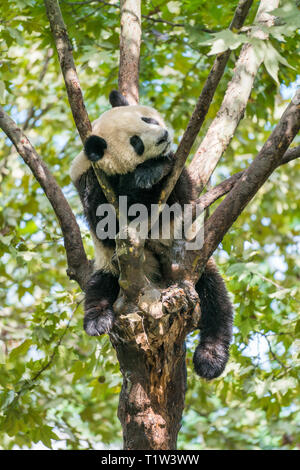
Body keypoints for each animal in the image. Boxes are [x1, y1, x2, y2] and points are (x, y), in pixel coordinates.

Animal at [71, 90, 233, 380]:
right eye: (135, 142)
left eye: (147, 119)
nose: (163, 136)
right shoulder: (88, 179)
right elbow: (106, 221)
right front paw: (141, 178)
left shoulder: (180, 183)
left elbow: (180, 195)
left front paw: (153, 170)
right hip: (112, 268)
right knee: (99, 288)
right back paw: (97, 321)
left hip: (192, 264)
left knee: (216, 302)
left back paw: (210, 359)